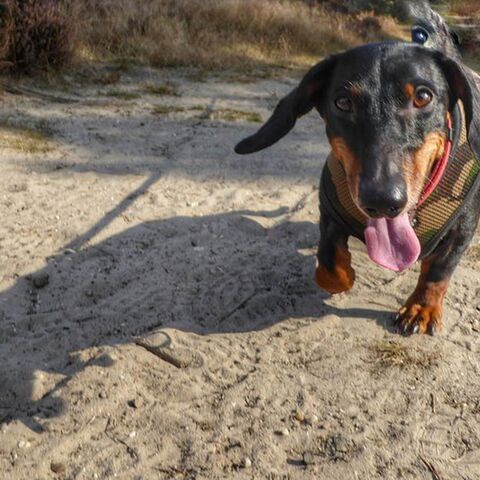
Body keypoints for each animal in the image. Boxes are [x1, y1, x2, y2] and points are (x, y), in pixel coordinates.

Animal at [235, 2, 480, 338]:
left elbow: (438, 272)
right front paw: (344, 276)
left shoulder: (463, 229)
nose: (382, 200)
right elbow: (328, 262)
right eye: (342, 102)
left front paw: (421, 309)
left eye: (423, 96)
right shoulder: (329, 208)